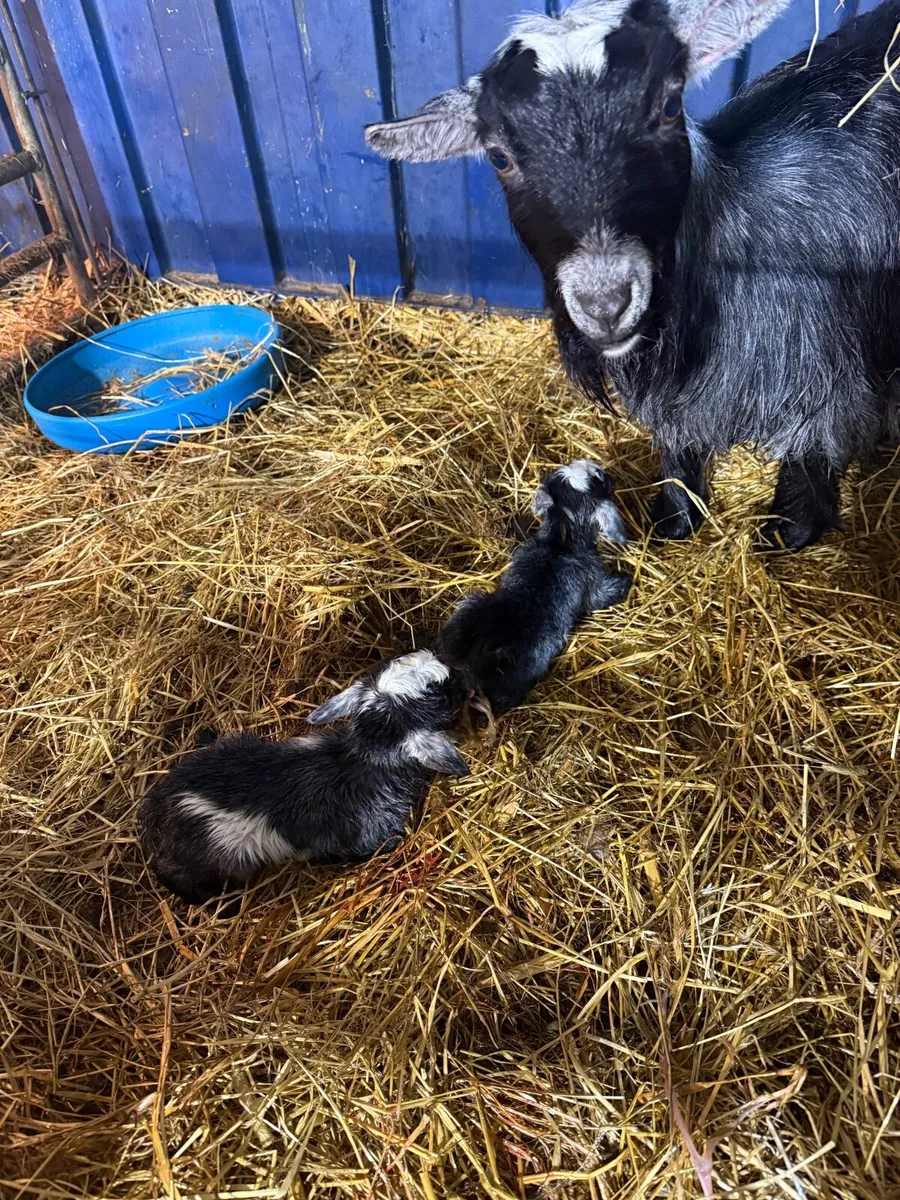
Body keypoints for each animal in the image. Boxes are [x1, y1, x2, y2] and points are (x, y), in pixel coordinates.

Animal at [366, 0, 900, 550]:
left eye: (669, 106)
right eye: (499, 156)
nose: (605, 304)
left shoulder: (832, 395)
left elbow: (805, 481)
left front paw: (782, 537)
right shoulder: (679, 410)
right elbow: (679, 464)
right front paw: (673, 524)